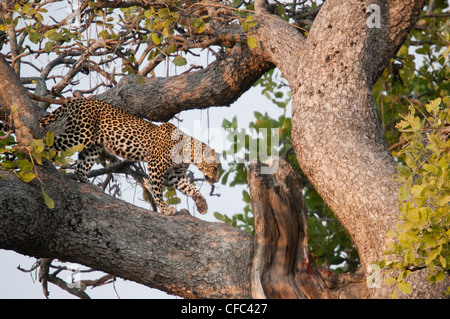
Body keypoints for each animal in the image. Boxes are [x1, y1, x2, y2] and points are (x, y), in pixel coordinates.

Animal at [39, 99, 221, 216]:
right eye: (216, 168)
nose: (216, 180)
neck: (189, 154)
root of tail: (79, 100)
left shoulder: (175, 174)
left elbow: (191, 188)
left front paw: (202, 204)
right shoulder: (156, 165)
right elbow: (157, 189)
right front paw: (165, 208)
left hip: (92, 146)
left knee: (80, 169)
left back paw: (93, 187)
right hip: (79, 135)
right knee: (47, 142)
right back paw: (37, 156)